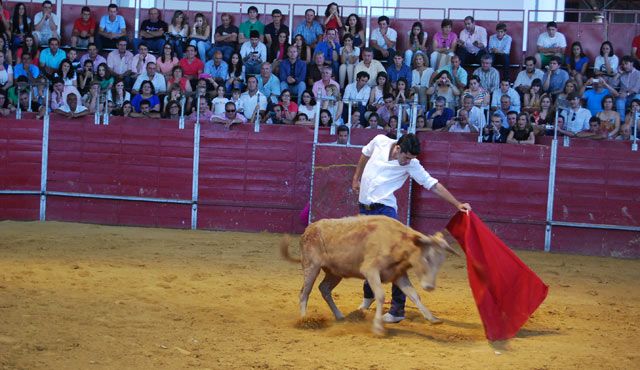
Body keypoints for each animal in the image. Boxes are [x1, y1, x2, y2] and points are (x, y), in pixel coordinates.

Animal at [282, 214, 460, 332]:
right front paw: (377, 326)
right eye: (426, 257)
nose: (430, 286)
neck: (396, 241)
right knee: (304, 293)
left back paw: (340, 316)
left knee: (324, 289)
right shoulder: (370, 271)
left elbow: (414, 295)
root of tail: (308, 229)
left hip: (334, 272)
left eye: (440, 261)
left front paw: (432, 319)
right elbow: (380, 295)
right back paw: (304, 320)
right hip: (311, 266)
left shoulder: (398, 275)